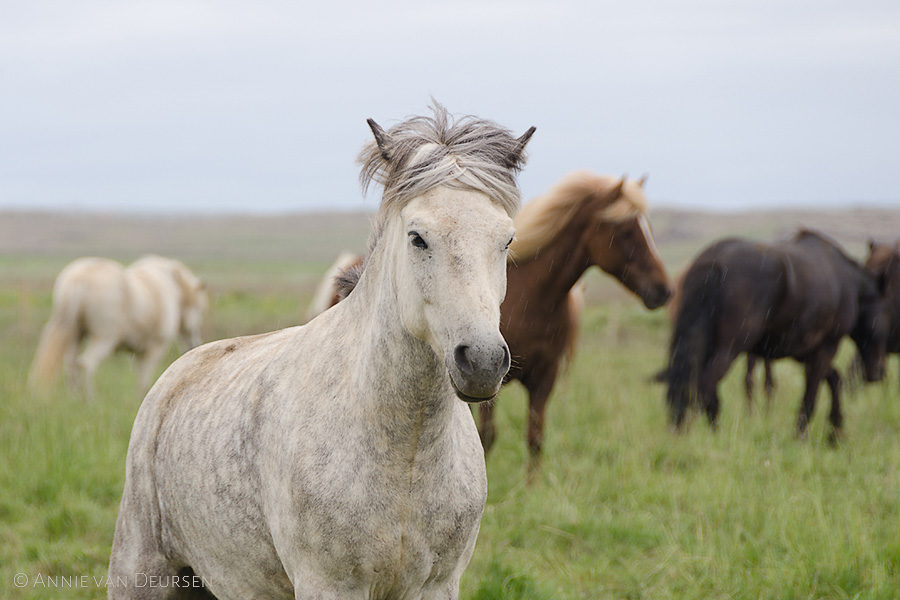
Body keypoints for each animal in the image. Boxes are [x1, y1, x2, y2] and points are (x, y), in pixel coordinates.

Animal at [27, 254, 207, 398]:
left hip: (74, 334)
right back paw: (91, 399)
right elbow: (145, 381)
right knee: (86, 363)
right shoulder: (154, 350)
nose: (194, 344)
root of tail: (80, 279)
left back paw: (74, 398)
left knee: (70, 366)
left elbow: (139, 378)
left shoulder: (136, 353)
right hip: (104, 338)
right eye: (200, 308)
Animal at [110, 104, 536, 600]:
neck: (408, 450)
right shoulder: (329, 585)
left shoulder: (437, 585)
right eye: (417, 238)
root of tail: (176, 376)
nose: (483, 361)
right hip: (140, 571)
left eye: (506, 240)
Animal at [664, 230, 888, 440]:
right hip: (727, 350)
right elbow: (811, 397)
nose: (878, 372)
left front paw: (835, 430)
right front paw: (802, 437)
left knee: (683, 386)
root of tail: (715, 260)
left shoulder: (805, 353)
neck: (848, 282)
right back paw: (711, 435)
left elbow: (834, 379)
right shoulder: (826, 348)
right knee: (704, 387)